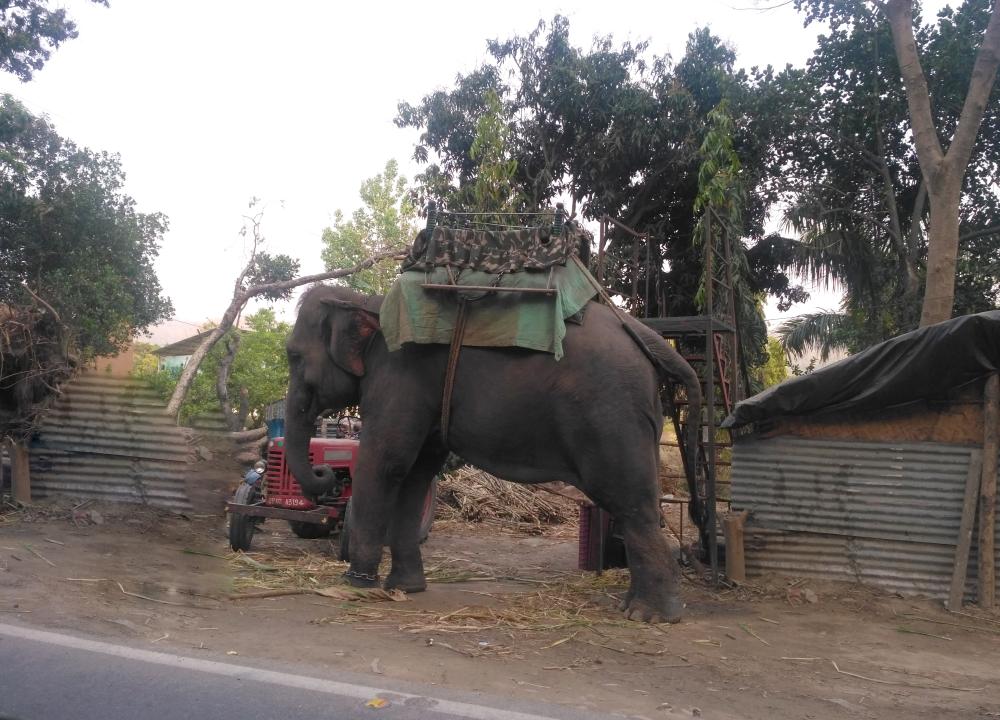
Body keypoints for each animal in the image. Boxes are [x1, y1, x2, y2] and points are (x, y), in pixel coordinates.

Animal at [286, 284, 700, 620]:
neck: (364, 301)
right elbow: (417, 472)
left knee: (630, 503)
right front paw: (405, 588)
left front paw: (355, 583)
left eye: (293, 356)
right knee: (638, 505)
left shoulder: (397, 376)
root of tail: (644, 334)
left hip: (611, 414)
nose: (324, 475)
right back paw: (636, 606)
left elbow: (385, 462)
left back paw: (650, 615)